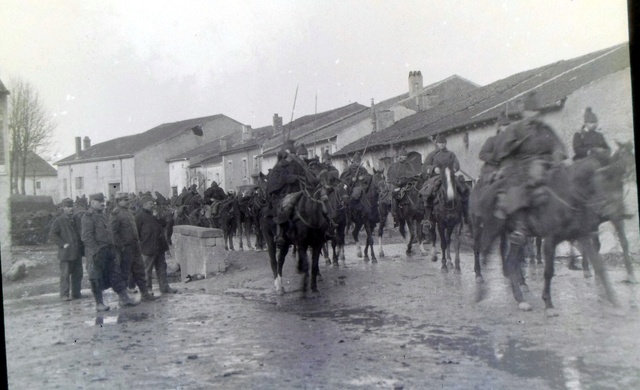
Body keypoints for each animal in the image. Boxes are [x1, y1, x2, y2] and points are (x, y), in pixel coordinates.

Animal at [476, 151, 632, 312]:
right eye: (601, 181)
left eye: (619, 183)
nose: (617, 212)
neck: (568, 197)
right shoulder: (550, 240)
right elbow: (549, 271)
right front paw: (548, 303)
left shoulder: (583, 235)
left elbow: (599, 264)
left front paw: (612, 299)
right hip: (491, 230)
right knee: (483, 253)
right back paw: (481, 291)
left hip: (515, 237)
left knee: (510, 262)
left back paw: (520, 299)